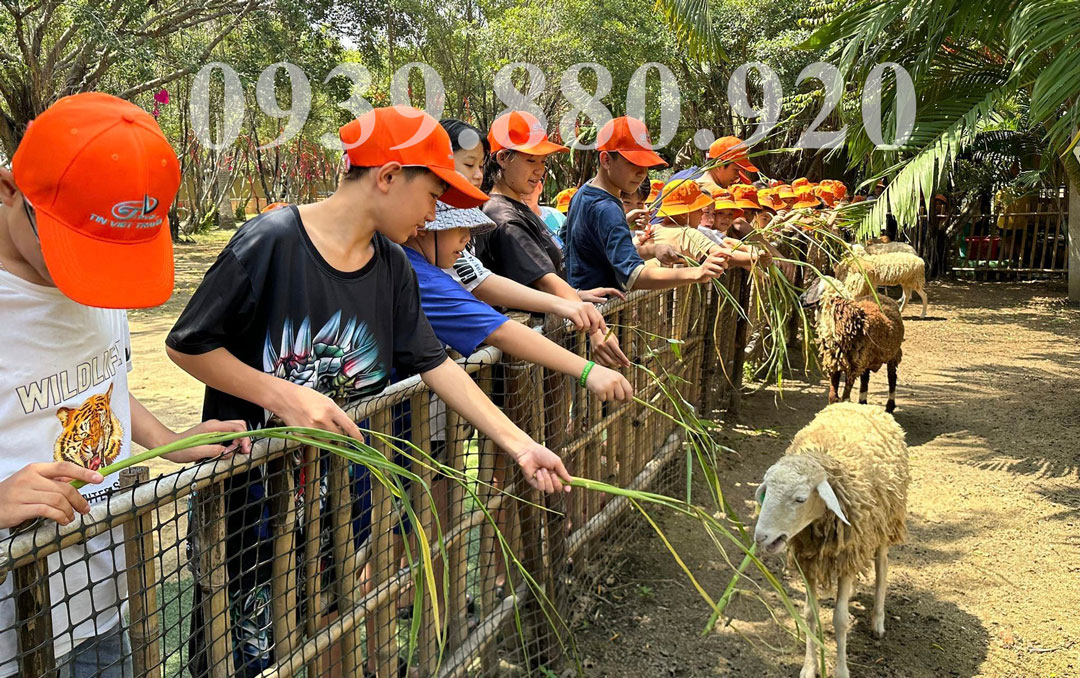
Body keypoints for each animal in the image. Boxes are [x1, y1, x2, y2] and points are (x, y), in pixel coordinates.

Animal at [751, 401, 911, 678]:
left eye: (800, 499)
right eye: (766, 491)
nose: (761, 536)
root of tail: (862, 405)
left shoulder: (847, 556)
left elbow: (840, 619)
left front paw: (841, 670)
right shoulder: (809, 559)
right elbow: (809, 614)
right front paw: (809, 666)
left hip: (884, 523)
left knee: (882, 567)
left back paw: (877, 620)